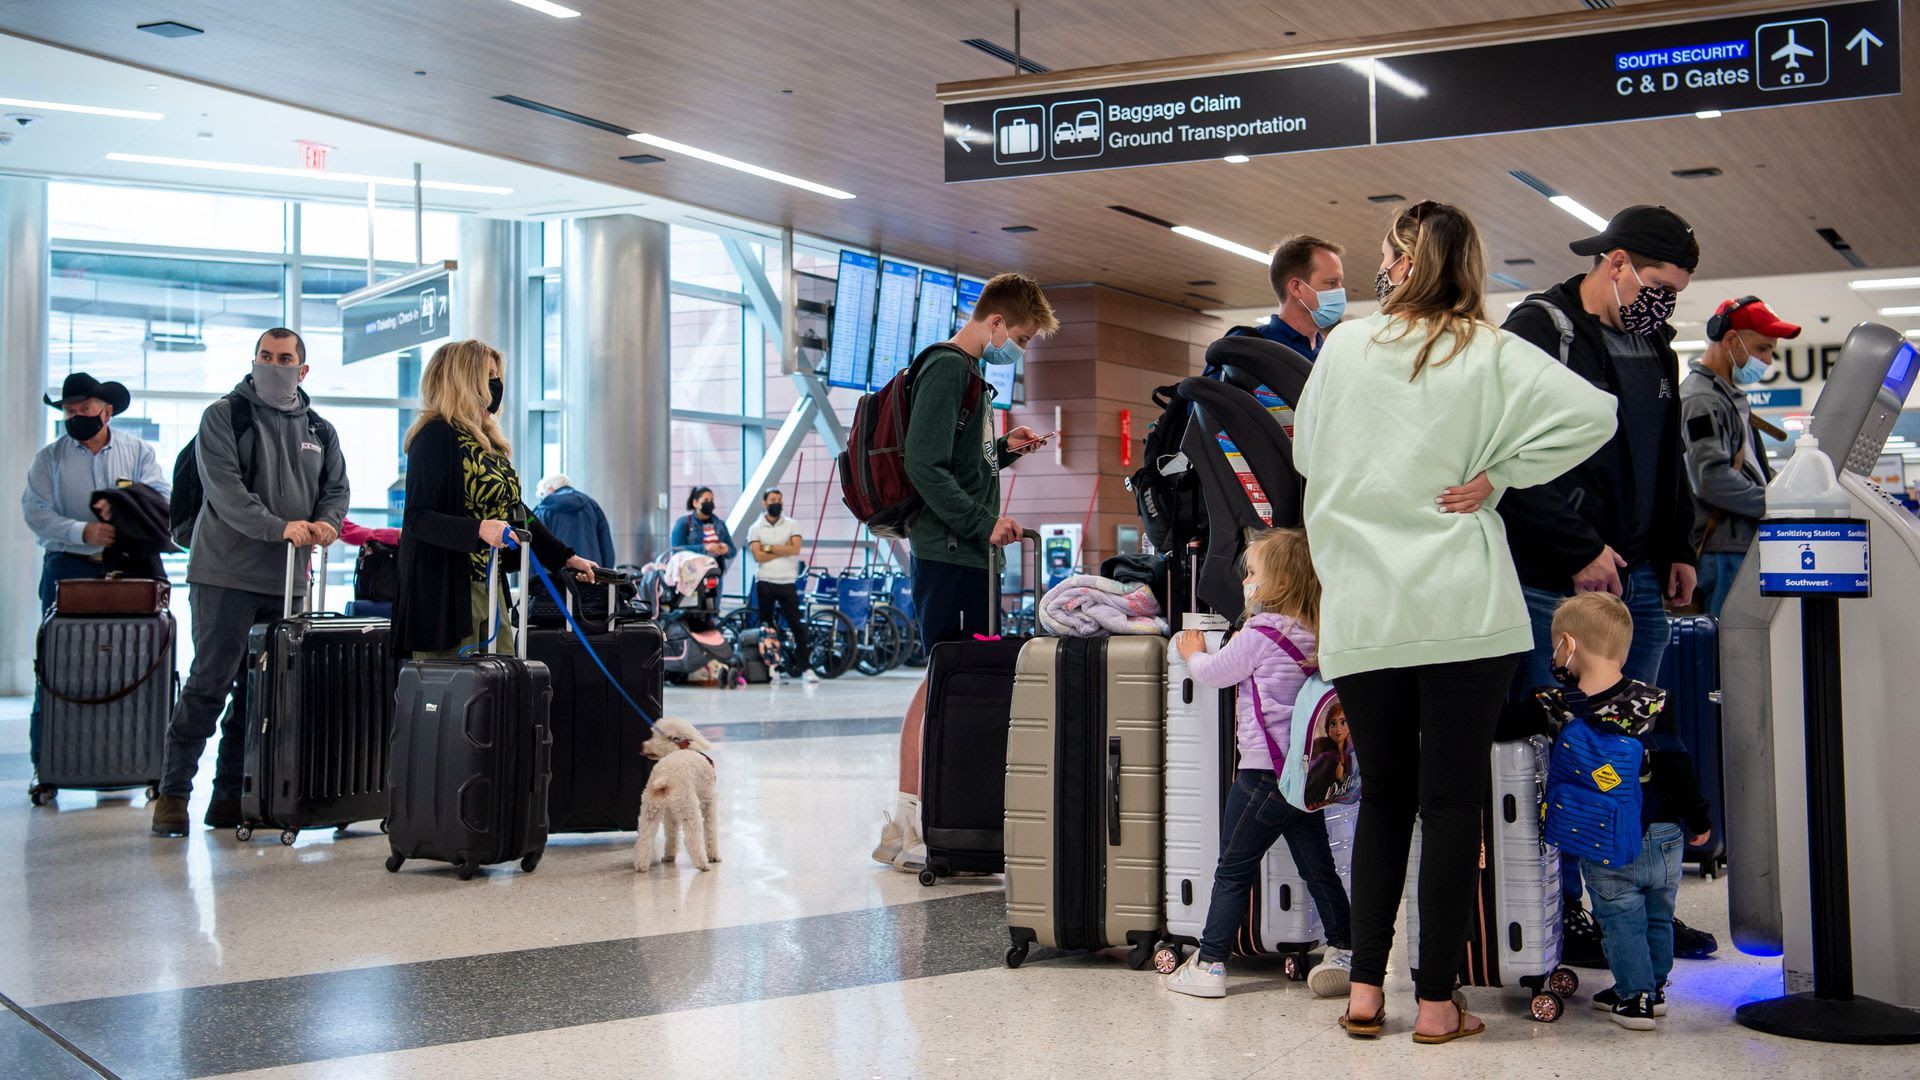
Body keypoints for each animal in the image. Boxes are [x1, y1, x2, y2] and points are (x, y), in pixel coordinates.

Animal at [637, 718, 721, 868]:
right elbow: (711, 831)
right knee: (692, 838)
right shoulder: (709, 803)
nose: (642, 745)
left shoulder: (670, 813)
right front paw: (714, 856)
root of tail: (665, 777)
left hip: (650, 809)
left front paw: (669, 856)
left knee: (645, 838)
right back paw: (703, 864)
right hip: (688, 807)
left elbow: (671, 834)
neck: (684, 748)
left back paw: (641, 865)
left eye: (655, 736)